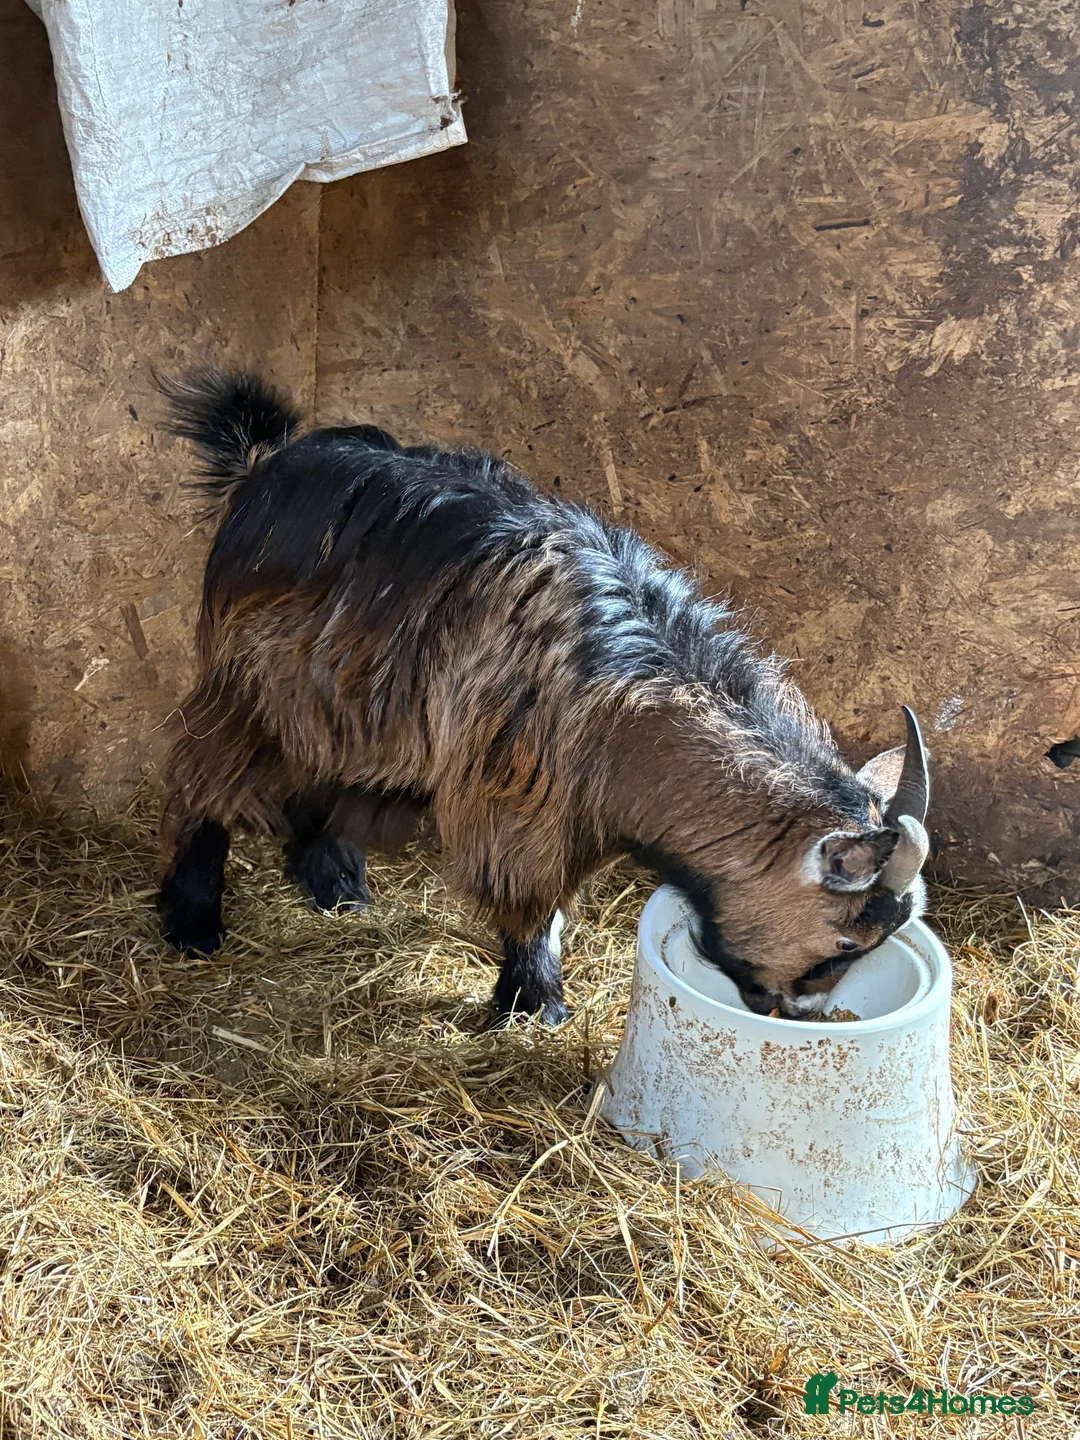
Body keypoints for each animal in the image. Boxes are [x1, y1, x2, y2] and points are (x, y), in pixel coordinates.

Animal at [156, 367, 931, 1023]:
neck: (636, 692)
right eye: (843, 942)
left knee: (329, 778)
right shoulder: (520, 797)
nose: (789, 1009)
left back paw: (337, 884)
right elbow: (530, 900)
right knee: (204, 772)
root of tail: (265, 468)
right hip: (252, 683)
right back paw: (193, 918)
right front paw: (534, 1003)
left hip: (358, 703)